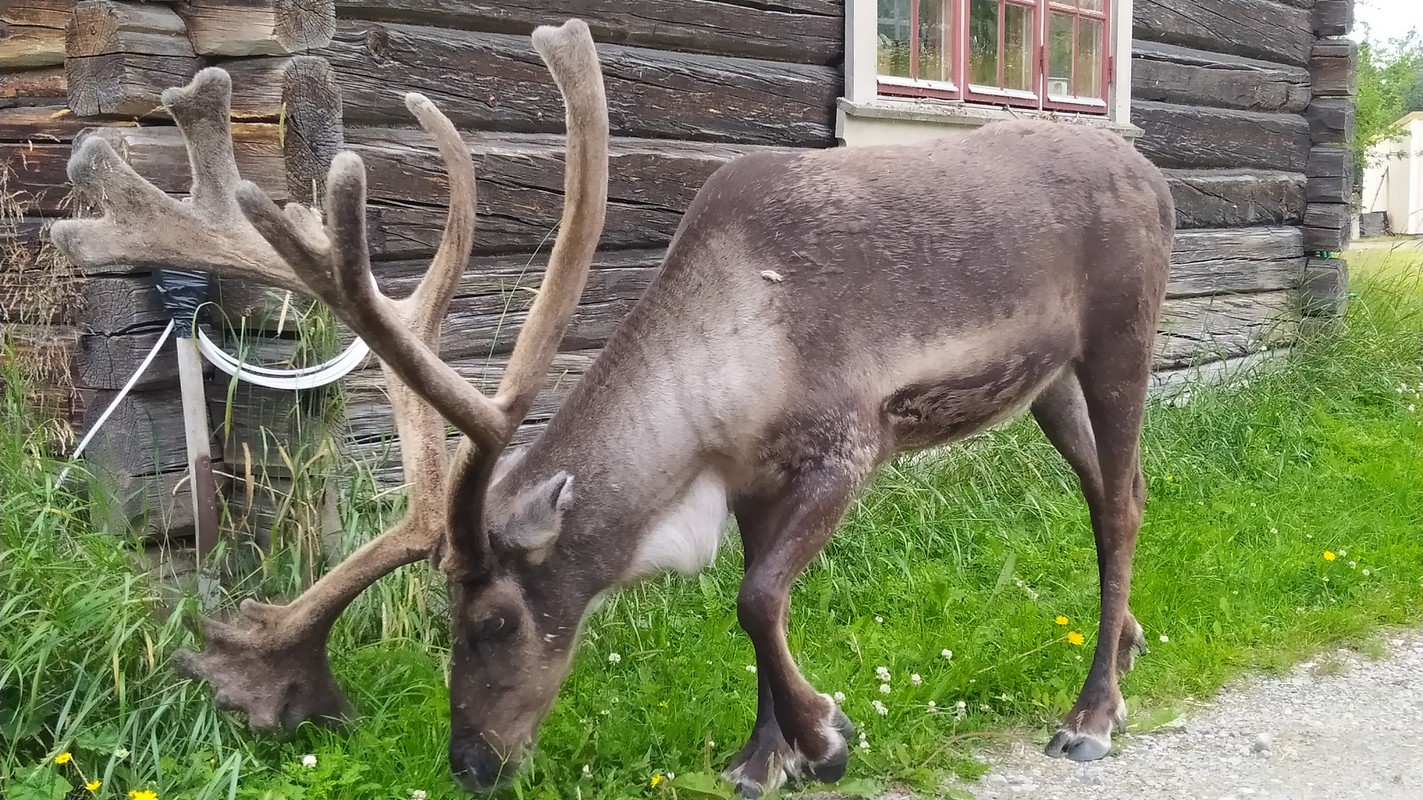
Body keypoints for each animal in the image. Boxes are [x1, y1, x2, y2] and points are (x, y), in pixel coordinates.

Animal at [49, 17, 1176, 799]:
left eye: (495, 619)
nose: (470, 765)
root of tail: (1152, 174)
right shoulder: (752, 480)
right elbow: (757, 605)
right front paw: (761, 756)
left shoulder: (845, 444)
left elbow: (753, 598)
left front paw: (825, 736)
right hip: (1048, 385)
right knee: (1114, 494)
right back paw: (1123, 647)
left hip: (1121, 336)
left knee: (1121, 505)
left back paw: (1090, 714)